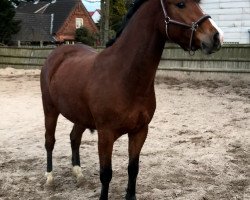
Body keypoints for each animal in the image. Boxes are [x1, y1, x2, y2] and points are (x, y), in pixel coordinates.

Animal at [40, 0, 224, 198]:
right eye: (180, 4)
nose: (217, 37)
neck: (124, 76)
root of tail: (58, 53)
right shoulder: (105, 135)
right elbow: (106, 174)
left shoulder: (140, 131)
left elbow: (133, 168)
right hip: (50, 110)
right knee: (50, 141)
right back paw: (49, 178)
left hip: (80, 116)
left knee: (74, 138)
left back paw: (78, 174)